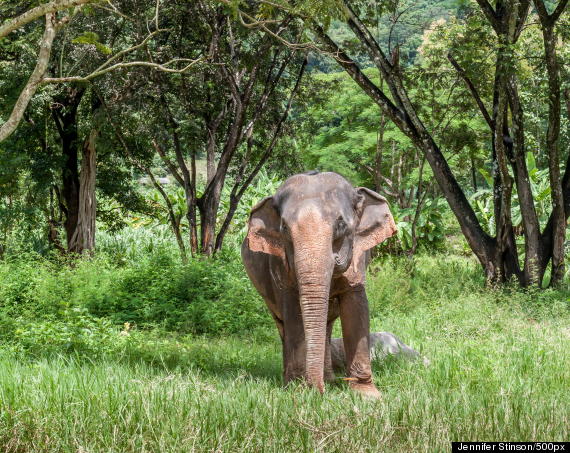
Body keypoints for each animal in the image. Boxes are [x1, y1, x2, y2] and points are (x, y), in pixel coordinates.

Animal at [241, 170, 394, 396]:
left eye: (341, 224)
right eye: (284, 228)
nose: (318, 391)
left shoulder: (359, 256)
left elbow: (356, 307)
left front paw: (367, 394)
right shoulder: (279, 265)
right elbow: (294, 314)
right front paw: (297, 390)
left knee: (327, 325)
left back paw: (329, 379)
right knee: (283, 326)